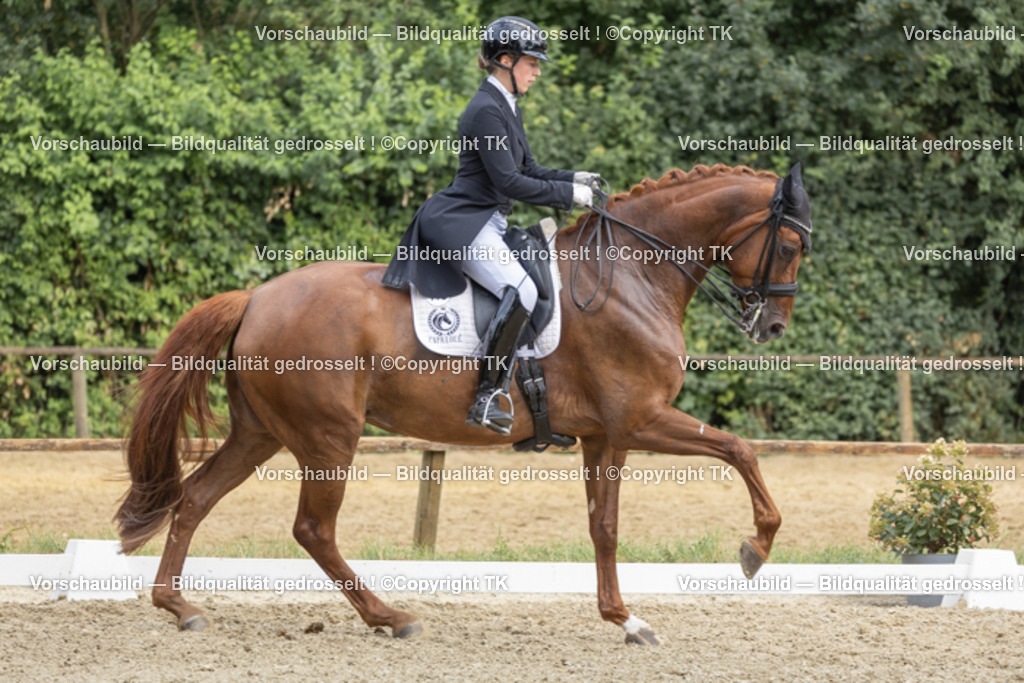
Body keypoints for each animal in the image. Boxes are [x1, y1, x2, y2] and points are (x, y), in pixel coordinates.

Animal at [116, 163, 813, 645]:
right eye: (789, 246)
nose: (773, 327)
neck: (633, 275)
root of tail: (257, 297)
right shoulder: (640, 420)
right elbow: (739, 449)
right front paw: (756, 549)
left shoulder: (605, 435)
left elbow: (605, 527)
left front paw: (625, 620)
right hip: (327, 436)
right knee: (312, 529)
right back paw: (392, 617)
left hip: (261, 431)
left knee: (195, 497)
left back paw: (179, 607)